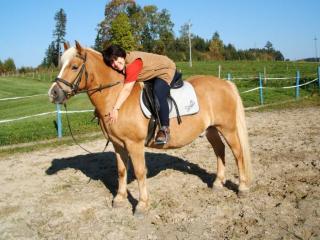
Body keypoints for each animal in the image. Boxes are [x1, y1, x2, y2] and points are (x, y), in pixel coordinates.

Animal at [48, 40, 252, 216]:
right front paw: (120, 199)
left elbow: (139, 172)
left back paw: (242, 187)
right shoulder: (118, 144)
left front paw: (142, 205)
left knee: (237, 153)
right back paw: (217, 183)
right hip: (211, 129)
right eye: (60, 65)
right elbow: (121, 170)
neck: (117, 98)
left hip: (227, 128)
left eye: (74, 66)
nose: (53, 93)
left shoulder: (134, 144)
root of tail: (225, 83)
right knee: (220, 150)